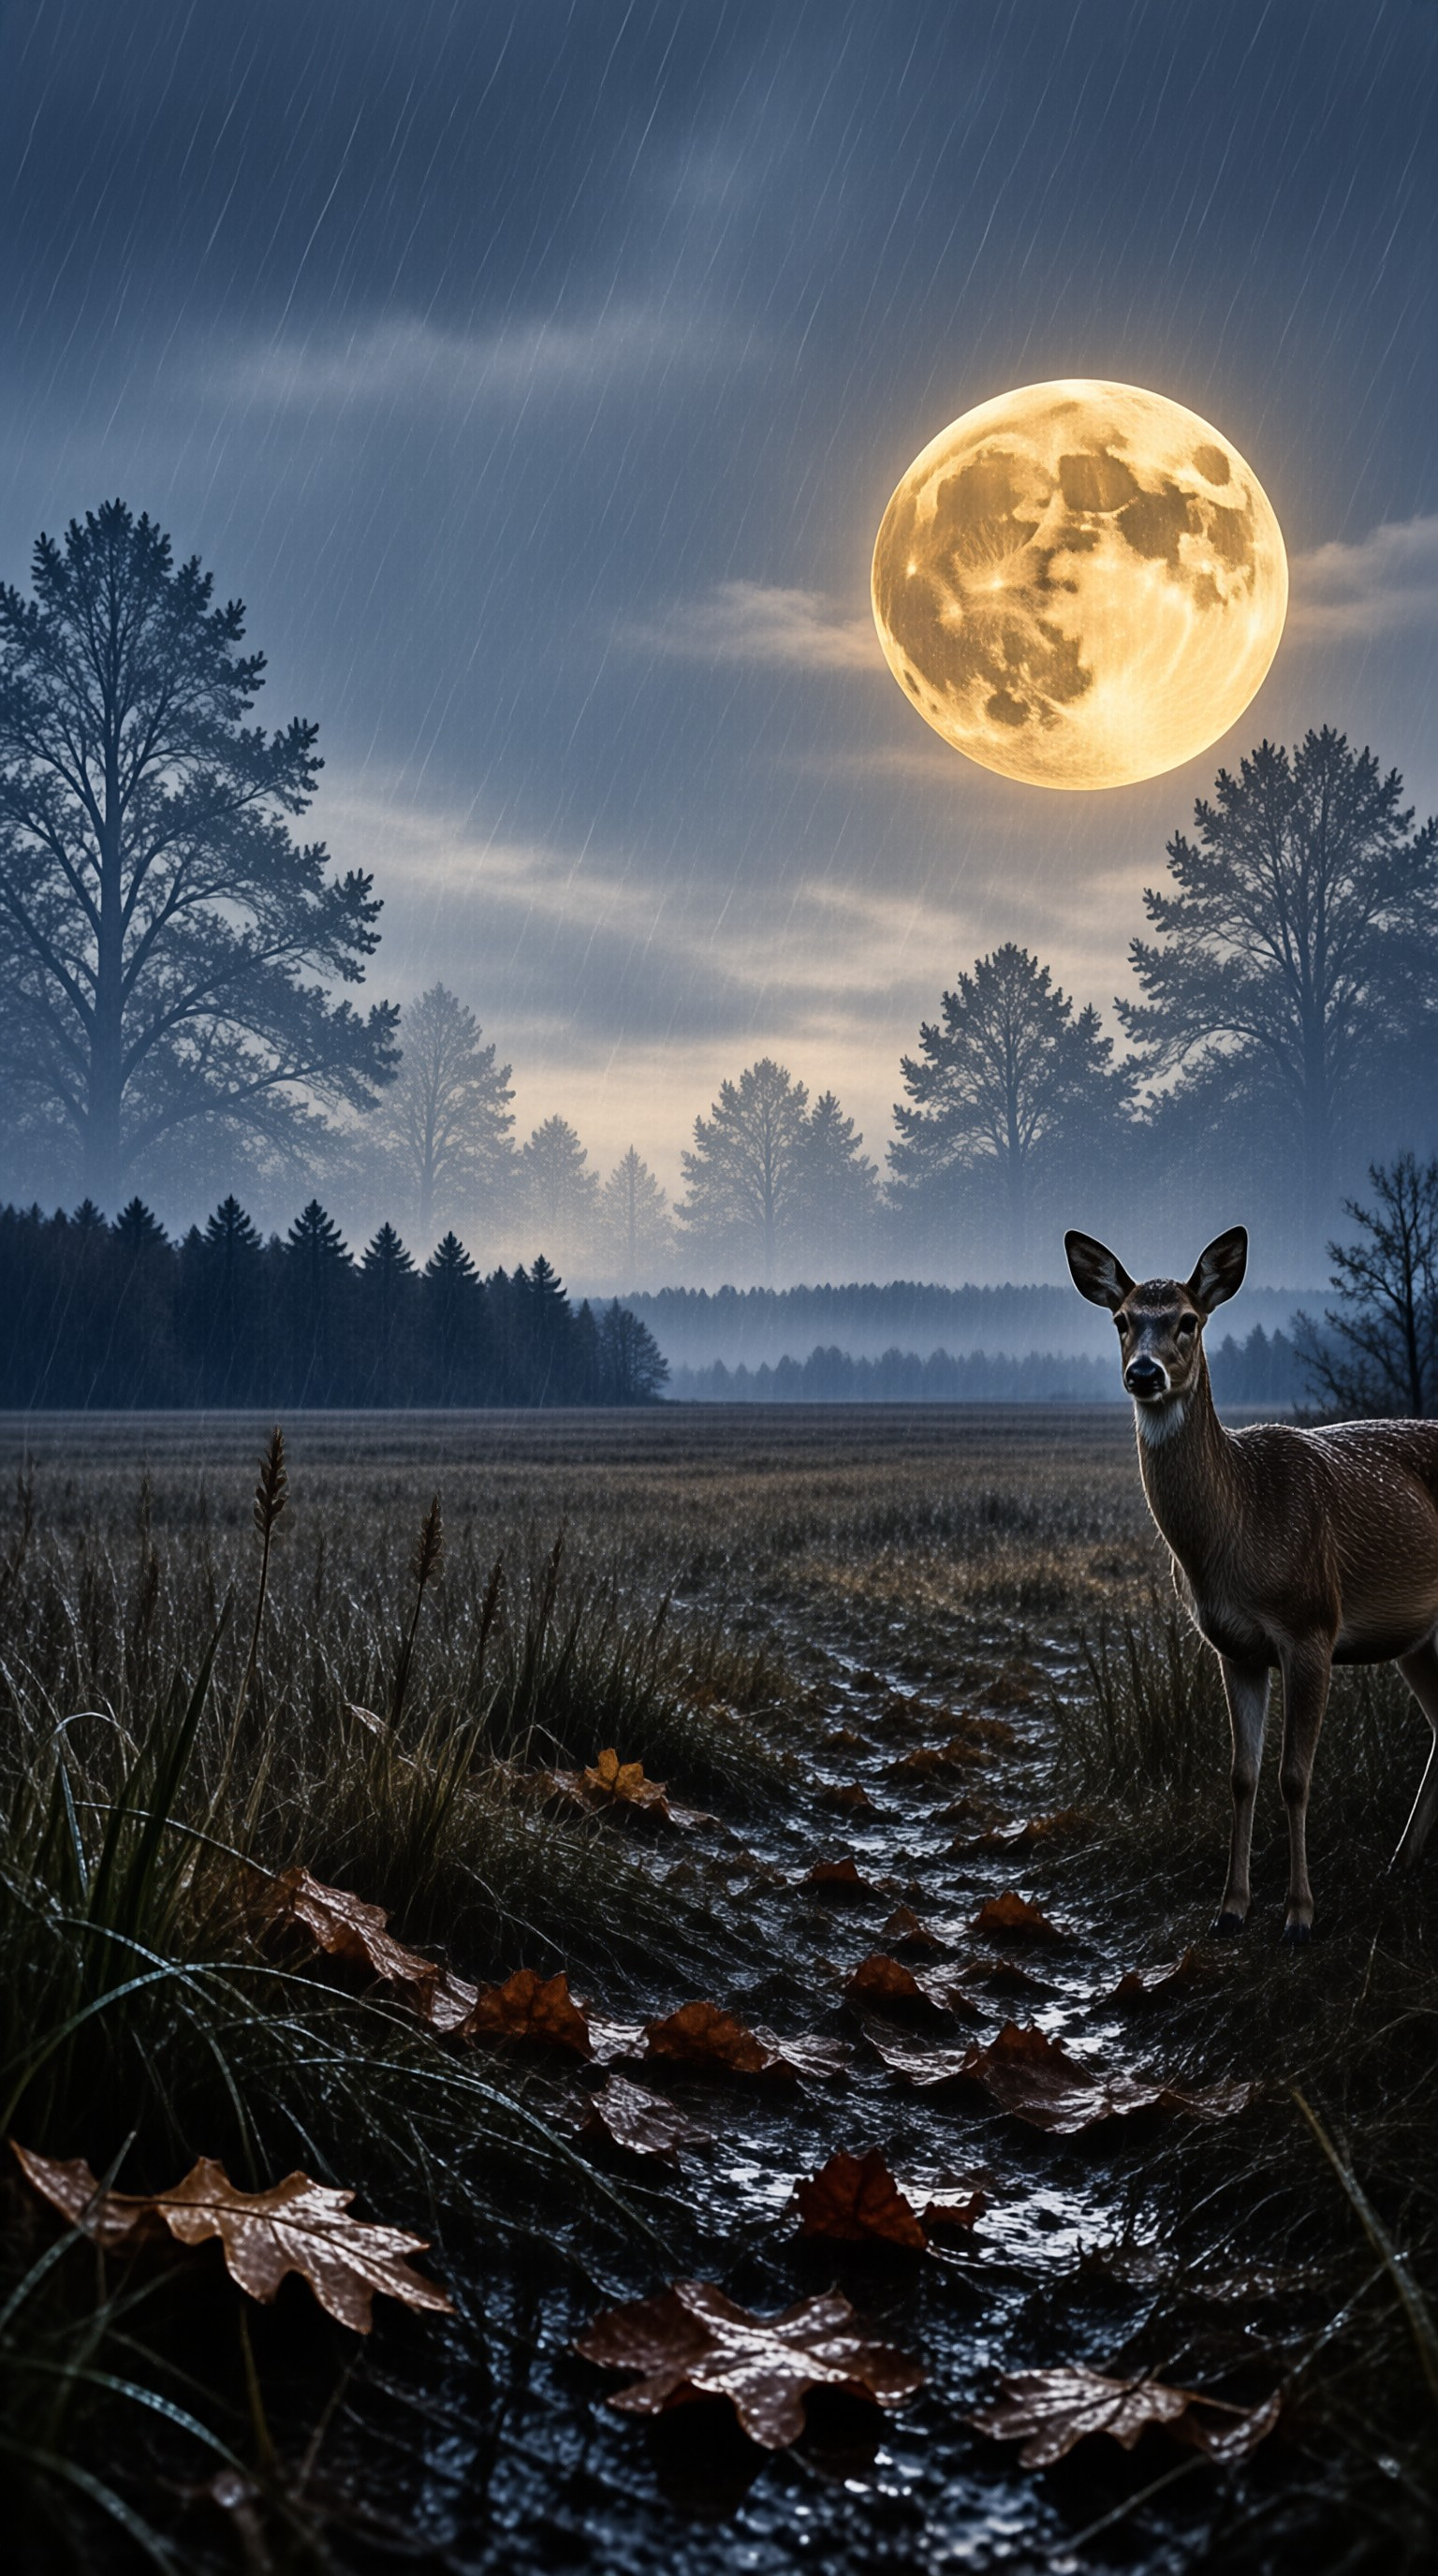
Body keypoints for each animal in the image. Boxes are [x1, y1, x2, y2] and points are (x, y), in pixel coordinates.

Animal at [1064, 1224, 1438, 1942]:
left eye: (1187, 1320)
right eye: (1122, 1320)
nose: (1144, 1372)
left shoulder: (1312, 1625)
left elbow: (1295, 1776)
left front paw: (1299, 1916)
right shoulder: (1233, 1646)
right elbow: (1242, 1774)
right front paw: (1230, 1909)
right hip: (1420, 1639)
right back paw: (1400, 1863)